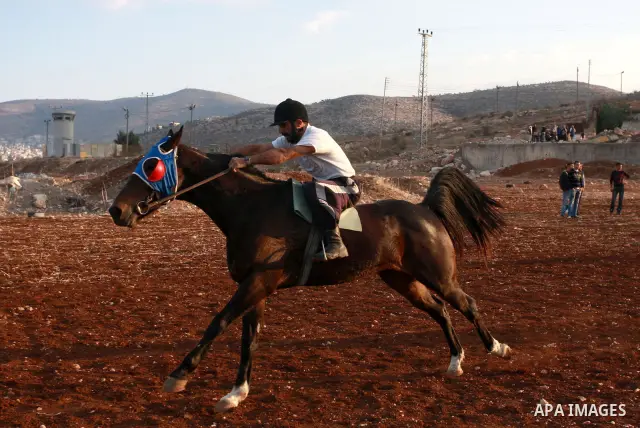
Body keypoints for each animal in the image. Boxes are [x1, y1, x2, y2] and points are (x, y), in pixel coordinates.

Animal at [108, 126, 512, 413]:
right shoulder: (256, 286)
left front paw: (180, 374)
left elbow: (219, 322)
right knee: (440, 310)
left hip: (438, 275)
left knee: (467, 303)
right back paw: (455, 361)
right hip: (401, 278)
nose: (116, 210)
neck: (250, 208)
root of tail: (424, 208)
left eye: (151, 165)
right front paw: (236, 393)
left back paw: (497, 348)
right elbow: (248, 339)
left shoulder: (259, 281)